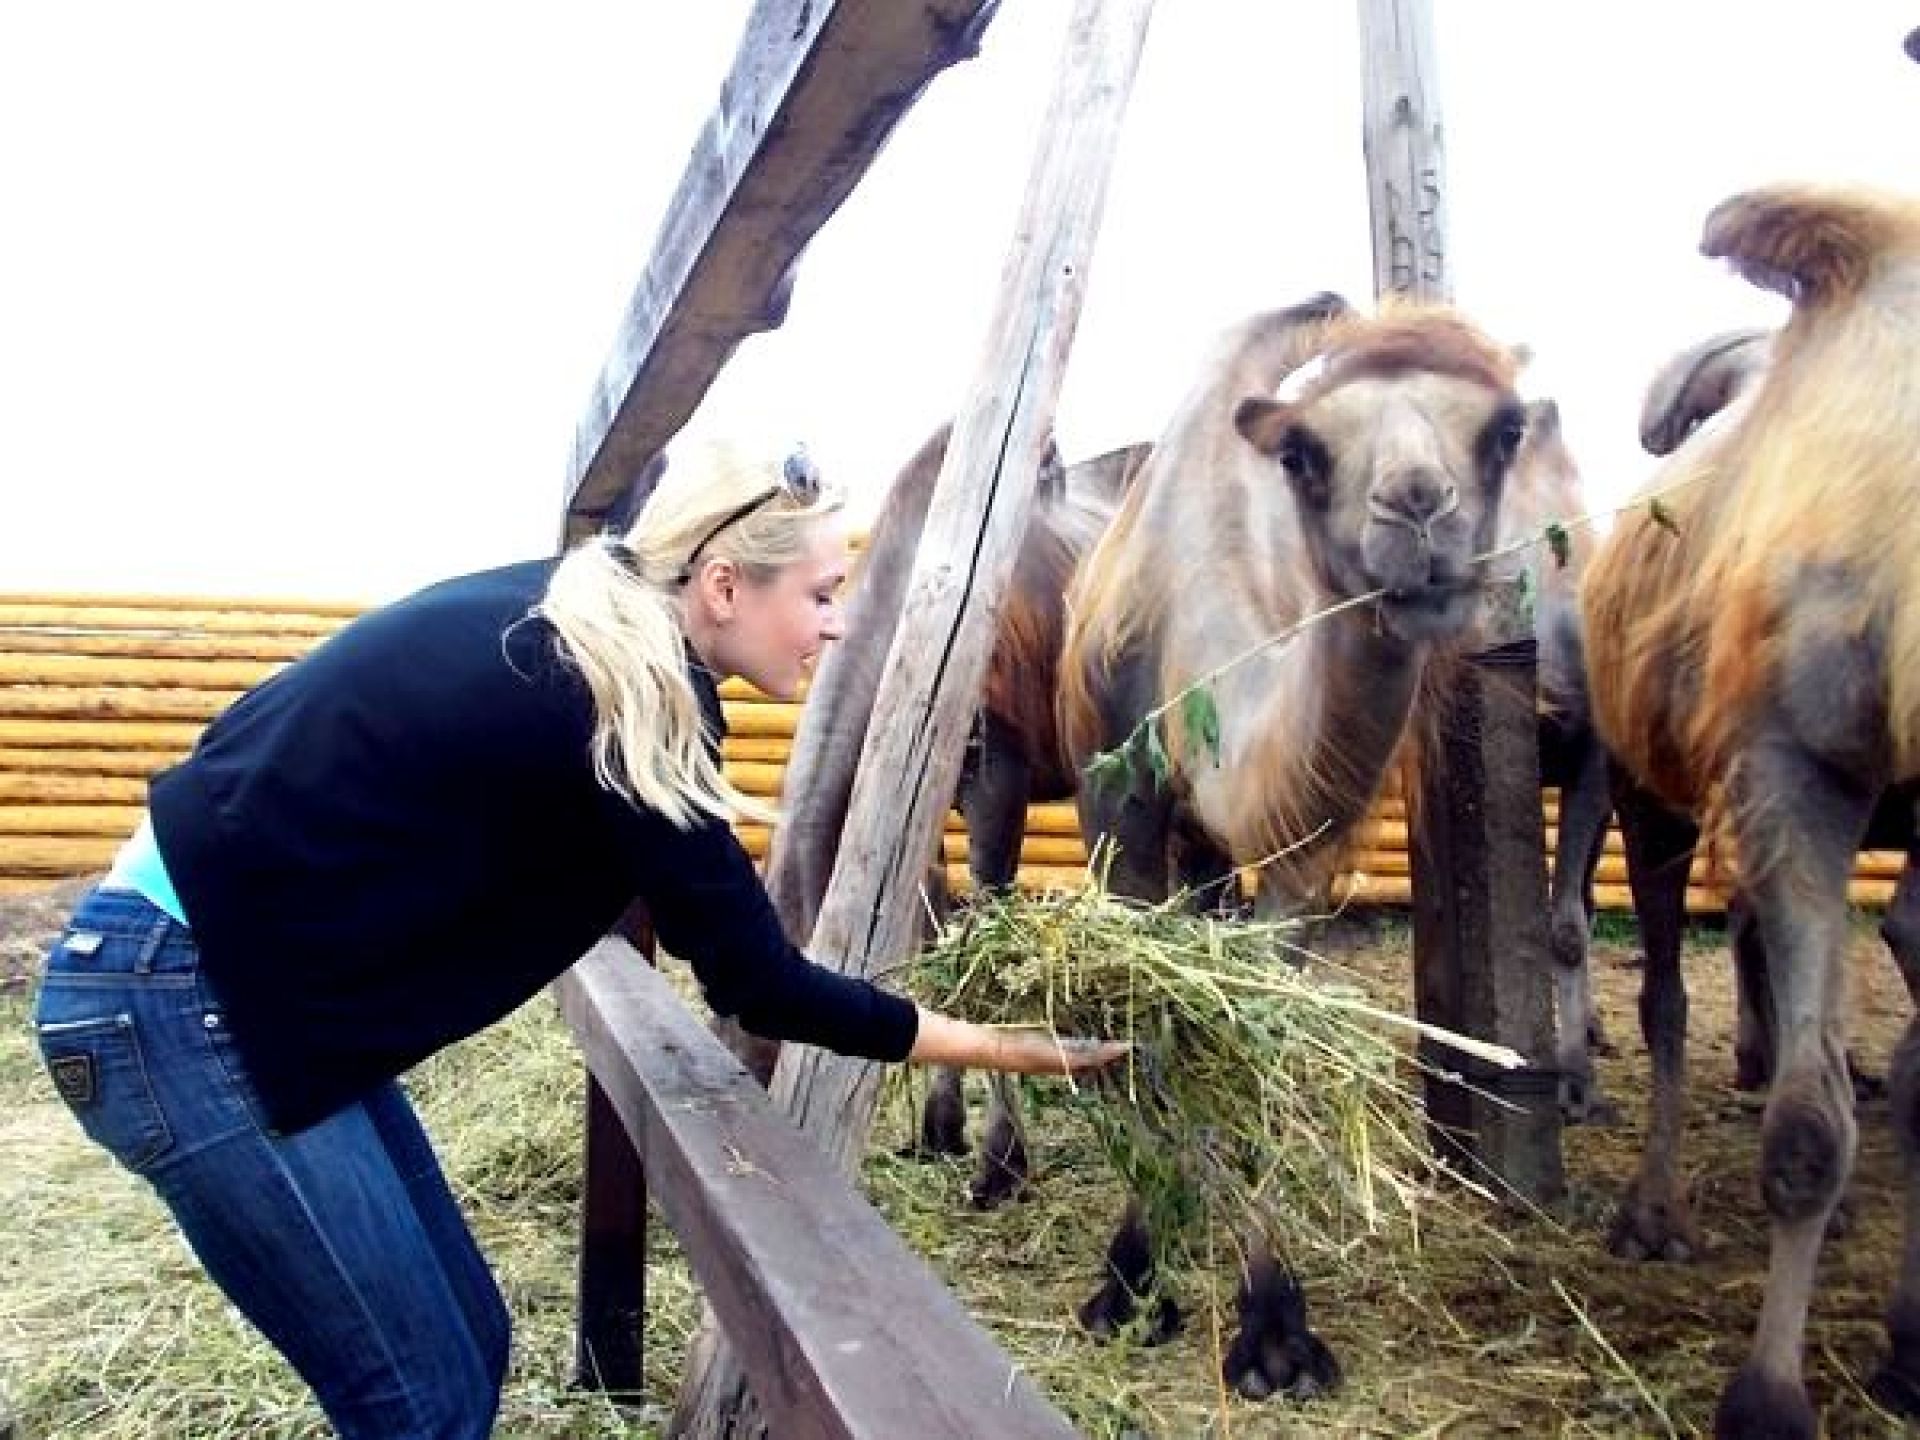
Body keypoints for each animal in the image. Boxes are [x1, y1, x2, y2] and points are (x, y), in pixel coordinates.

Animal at [1059, 295, 1520, 1413]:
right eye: (1306, 454)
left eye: (1506, 431)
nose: (1418, 509)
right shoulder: (1116, 803)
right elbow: (1142, 1031)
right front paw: (1130, 1281)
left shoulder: (1304, 850)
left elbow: (1259, 1033)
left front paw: (1275, 1332)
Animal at [1582, 183, 1920, 1440]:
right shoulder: (1792, 762)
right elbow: (1809, 1129)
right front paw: (1768, 1398)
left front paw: (1909, 1344)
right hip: (1645, 788)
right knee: (1666, 992)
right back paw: (1653, 1213)